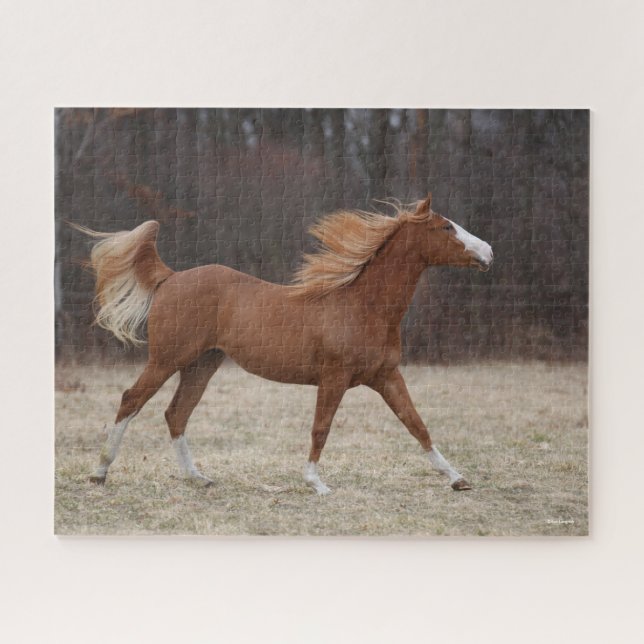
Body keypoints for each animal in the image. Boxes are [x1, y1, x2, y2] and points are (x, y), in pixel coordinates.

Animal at [77, 194, 493, 494]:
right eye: (445, 227)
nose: (488, 252)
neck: (363, 305)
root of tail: (170, 277)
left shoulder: (387, 376)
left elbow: (417, 424)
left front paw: (458, 479)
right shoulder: (334, 377)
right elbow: (321, 427)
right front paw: (316, 484)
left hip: (202, 364)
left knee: (176, 414)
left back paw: (199, 478)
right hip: (166, 359)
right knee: (132, 400)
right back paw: (99, 473)